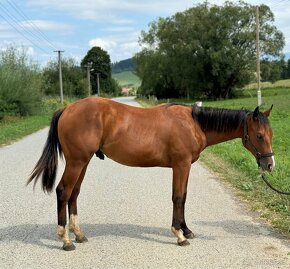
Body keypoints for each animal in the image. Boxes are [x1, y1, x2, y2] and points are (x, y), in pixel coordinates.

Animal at [27, 96, 274, 249]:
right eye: (259, 135)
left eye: (270, 133)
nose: (270, 165)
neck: (194, 123)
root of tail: (67, 108)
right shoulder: (181, 165)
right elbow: (178, 197)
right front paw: (179, 235)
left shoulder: (185, 166)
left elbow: (184, 197)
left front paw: (186, 230)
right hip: (77, 162)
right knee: (63, 191)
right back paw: (66, 240)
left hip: (83, 162)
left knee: (74, 194)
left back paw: (78, 234)